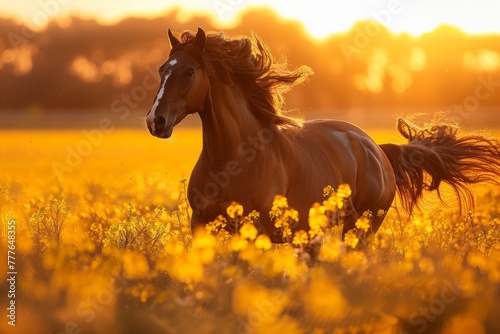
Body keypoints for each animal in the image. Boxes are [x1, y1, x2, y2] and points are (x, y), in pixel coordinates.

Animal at [146, 28, 500, 243]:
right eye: (162, 70)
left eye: (189, 71)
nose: (155, 121)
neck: (231, 160)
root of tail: (376, 150)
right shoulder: (203, 226)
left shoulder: (255, 230)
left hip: (359, 230)